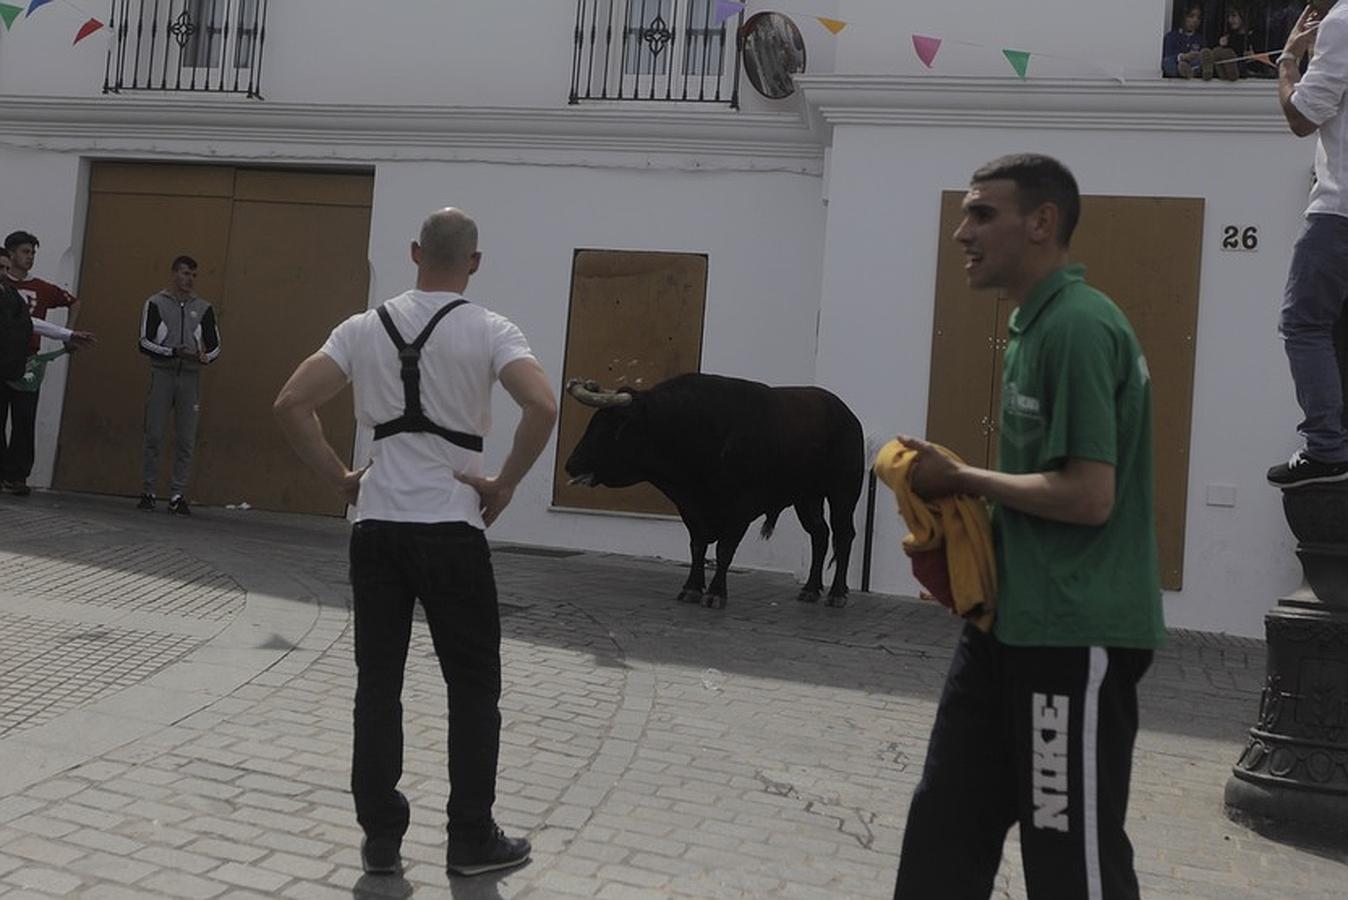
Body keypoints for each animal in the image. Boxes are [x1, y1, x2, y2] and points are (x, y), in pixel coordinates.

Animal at [560, 371, 862, 611]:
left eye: (610, 425)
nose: (571, 464)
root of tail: (846, 414)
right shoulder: (690, 508)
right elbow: (697, 547)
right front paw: (691, 588)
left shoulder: (740, 510)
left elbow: (724, 551)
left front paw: (716, 593)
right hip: (807, 497)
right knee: (820, 535)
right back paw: (810, 589)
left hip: (843, 492)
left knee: (843, 535)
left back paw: (837, 593)